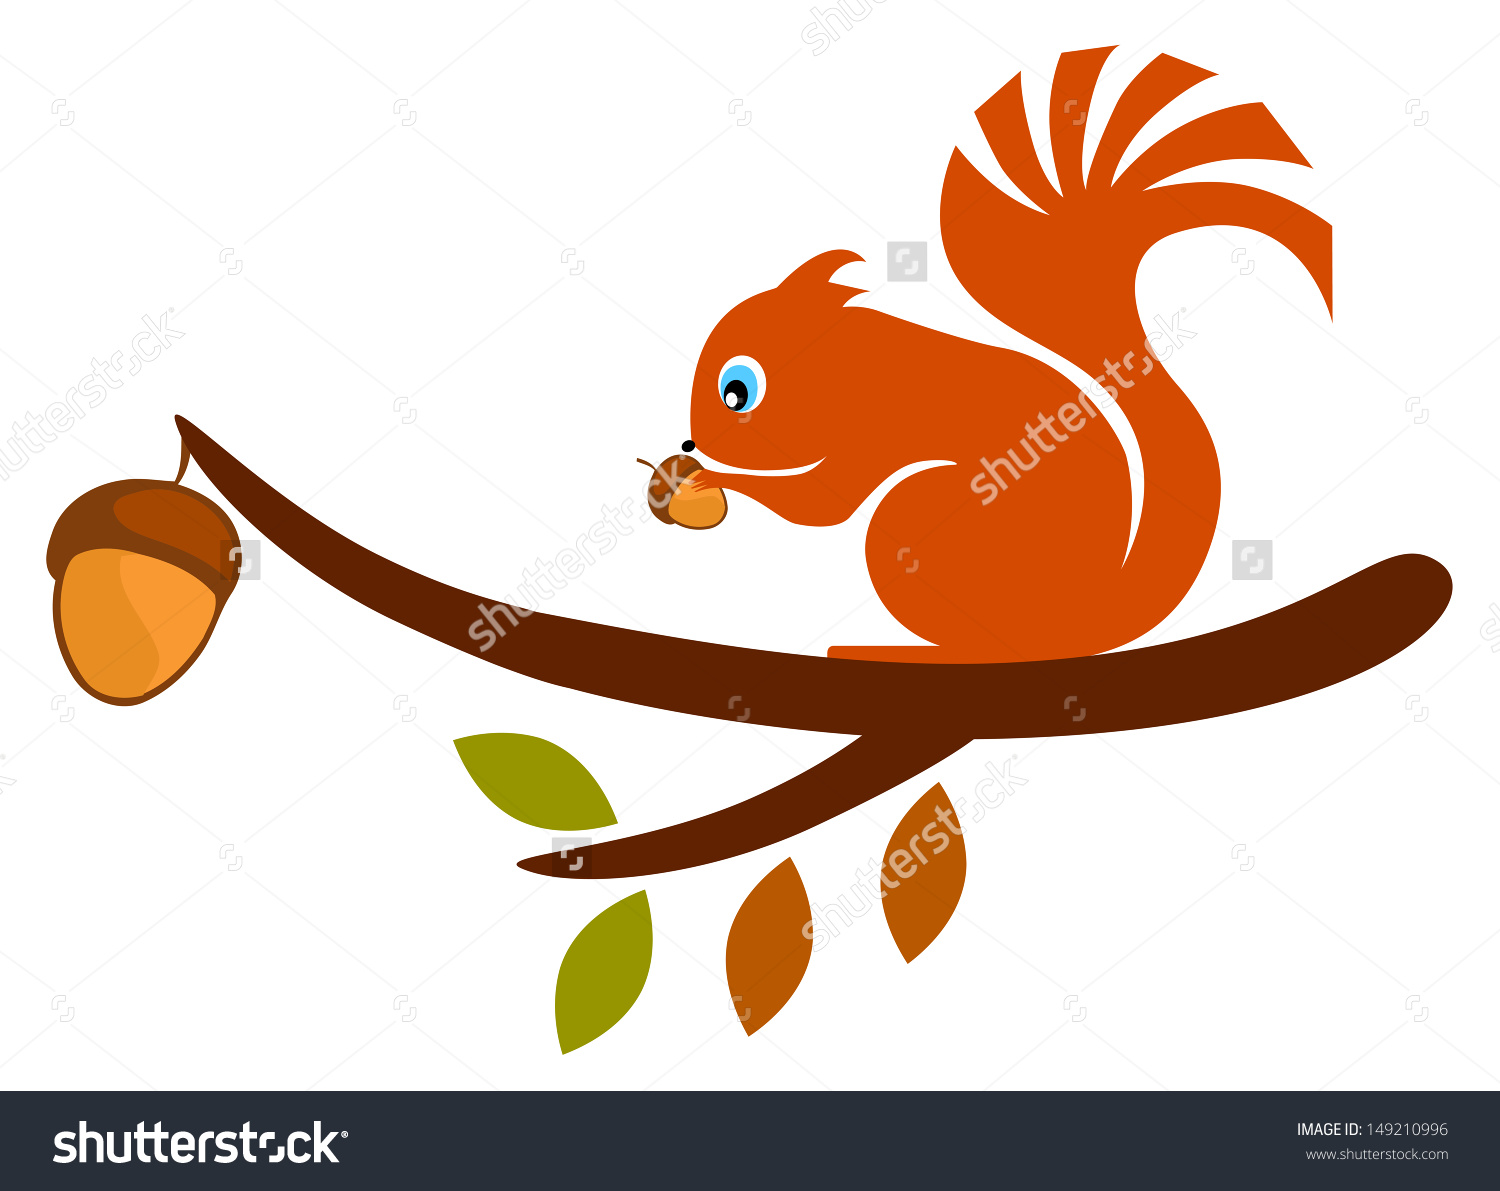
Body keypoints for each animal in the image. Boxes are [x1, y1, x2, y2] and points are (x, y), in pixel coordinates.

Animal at [684, 47, 1333, 663]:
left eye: (738, 392)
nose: (692, 444)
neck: (852, 365)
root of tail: (1086, 616)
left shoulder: (870, 436)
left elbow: (820, 506)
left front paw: (710, 478)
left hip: (917, 530)